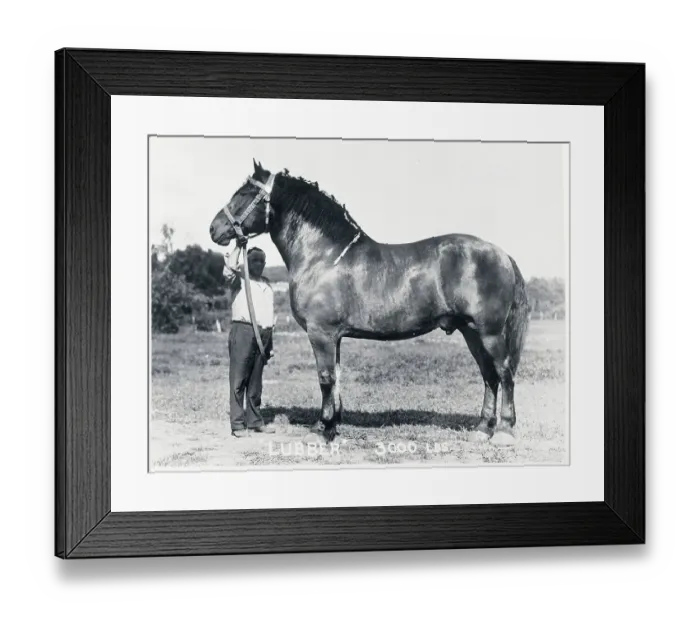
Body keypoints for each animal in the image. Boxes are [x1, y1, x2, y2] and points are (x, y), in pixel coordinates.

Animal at [209, 159, 530, 446]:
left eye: (244, 194)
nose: (214, 229)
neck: (323, 256)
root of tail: (502, 254)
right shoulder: (334, 337)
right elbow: (336, 377)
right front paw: (333, 426)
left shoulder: (321, 334)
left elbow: (325, 378)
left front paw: (320, 430)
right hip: (470, 332)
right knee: (488, 375)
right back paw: (482, 429)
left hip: (489, 332)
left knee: (504, 372)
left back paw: (504, 431)